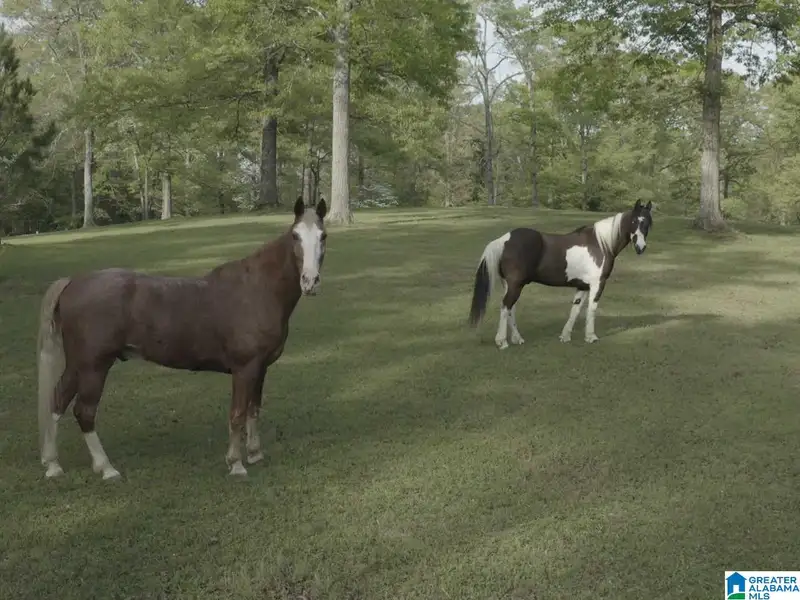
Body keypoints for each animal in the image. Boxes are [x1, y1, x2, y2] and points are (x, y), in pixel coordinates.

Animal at [37, 196, 328, 479]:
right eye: (295, 236)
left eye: (323, 236)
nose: (309, 281)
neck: (256, 290)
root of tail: (74, 281)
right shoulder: (245, 369)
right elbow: (237, 414)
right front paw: (236, 463)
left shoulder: (260, 368)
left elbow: (253, 410)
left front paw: (255, 454)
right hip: (94, 367)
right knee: (84, 411)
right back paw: (106, 467)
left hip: (78, 366)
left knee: (57, 402)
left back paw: (53, 465)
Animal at [468, 199, 653, 349]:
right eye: (635, 221)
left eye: (648, 223)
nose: (640, 247)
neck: (602, 244)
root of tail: (504, 240)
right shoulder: (597, 284)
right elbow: (591, 309)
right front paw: (591, 337)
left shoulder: (583, 286)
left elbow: (575, 310)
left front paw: (565, 336)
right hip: (515, 285)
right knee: (505, 306)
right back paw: (502, 342)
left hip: (511, 285)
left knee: (510, 308)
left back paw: (517, 339)